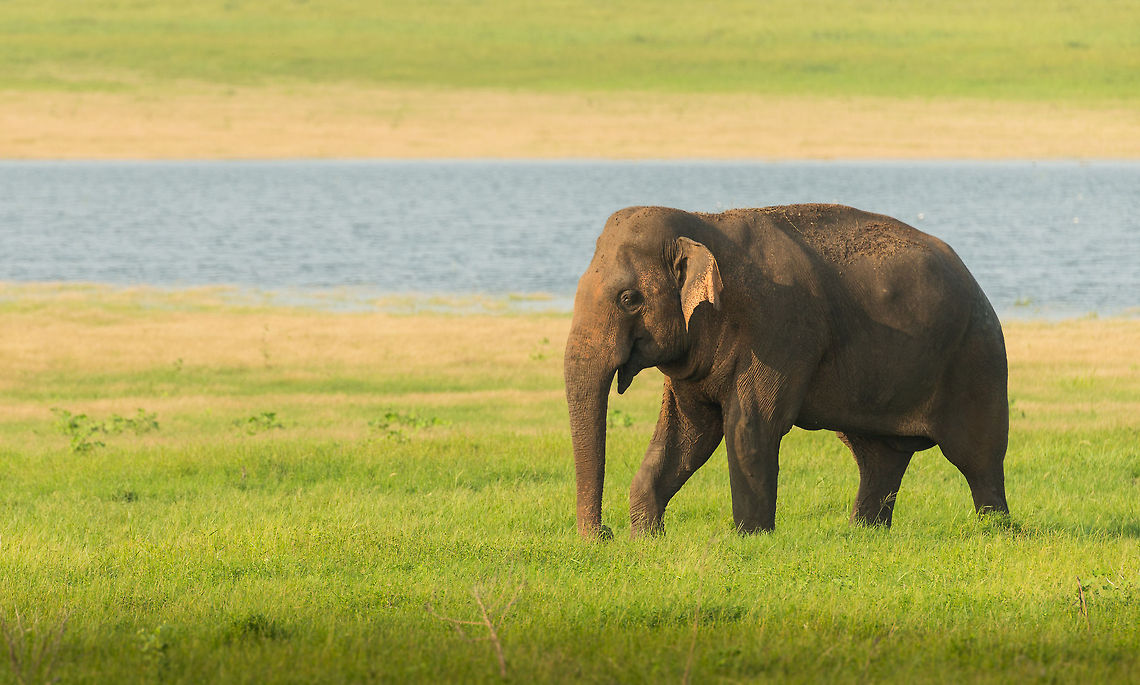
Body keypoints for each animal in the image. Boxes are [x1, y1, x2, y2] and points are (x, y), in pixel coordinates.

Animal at [564, 204, 1009, 539]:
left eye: (629, 299)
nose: (603, 535)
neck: (704, 222)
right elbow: (688, 434)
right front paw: (647, 538)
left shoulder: (779, 328)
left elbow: (749, 427)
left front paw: (748, 539)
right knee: (878, 456)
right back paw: (863, 535)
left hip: (977, 360)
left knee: (979, 458)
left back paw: (998, 532)